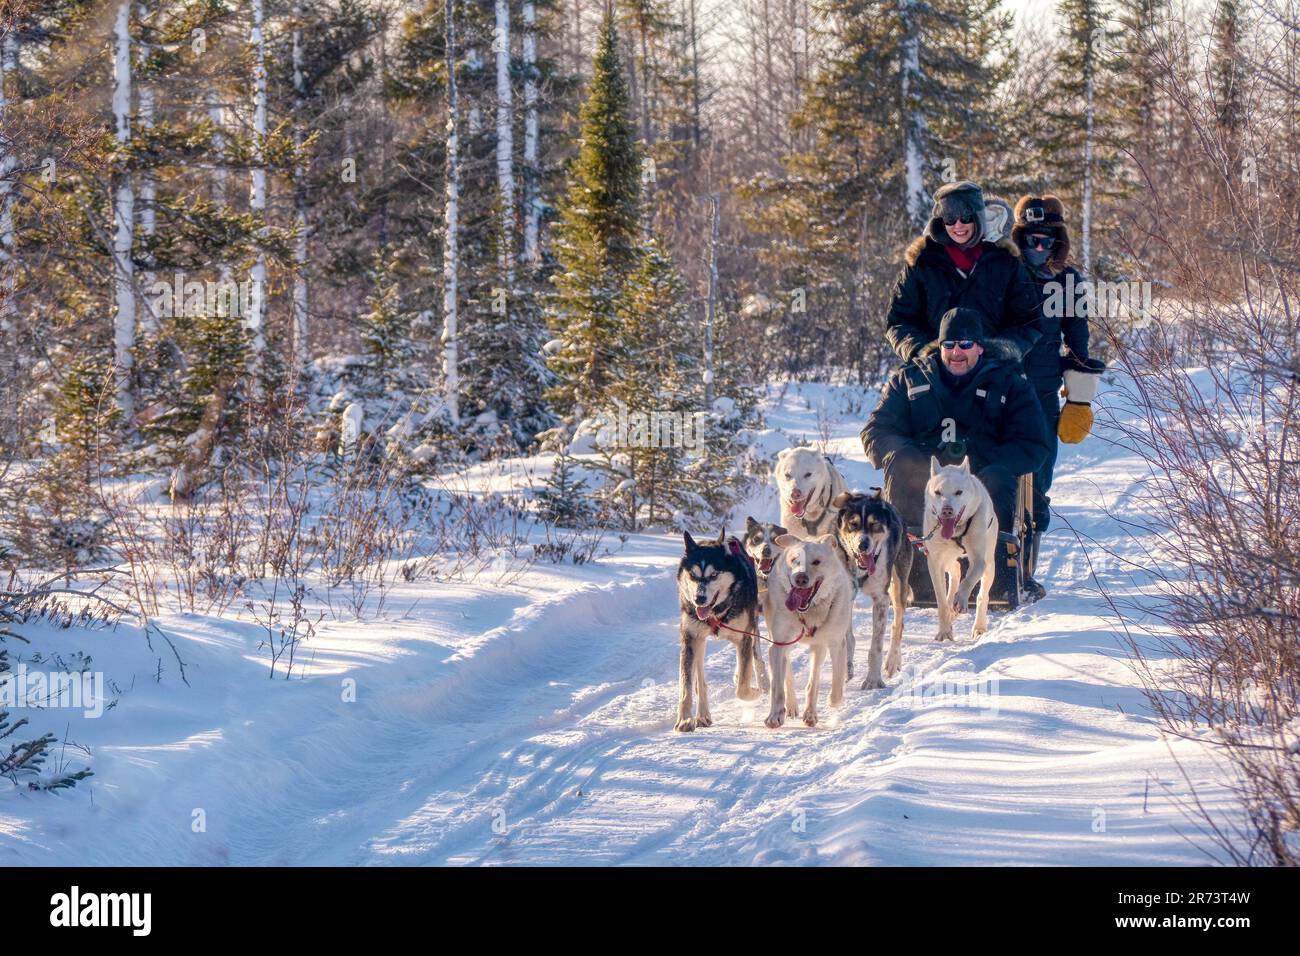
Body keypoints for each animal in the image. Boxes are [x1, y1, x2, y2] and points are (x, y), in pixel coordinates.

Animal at [759, 535, 852, 728]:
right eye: (795, 560)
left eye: (816, 561)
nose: (800, 578)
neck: (808, 612)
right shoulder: (778, 644)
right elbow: (777, 686)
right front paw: (775, 715)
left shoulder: (836, 643)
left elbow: (836, 681)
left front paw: (832, 701)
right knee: (787, 673)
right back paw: (791, 706)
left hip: (819, 647)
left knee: (813, 680)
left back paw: (810, 713)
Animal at [925, 457, 993, 642]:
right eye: (938, 492)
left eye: (958, 492)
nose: (947, 510)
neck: (956, 532)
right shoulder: (934, 561)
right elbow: (941, 600)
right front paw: (944, 631)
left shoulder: (978, 559)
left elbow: (968, 580)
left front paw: (960, 600)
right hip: (946, 559)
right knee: (955, 569)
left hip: (990, 564)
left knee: (982, 595)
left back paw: (979, 626)